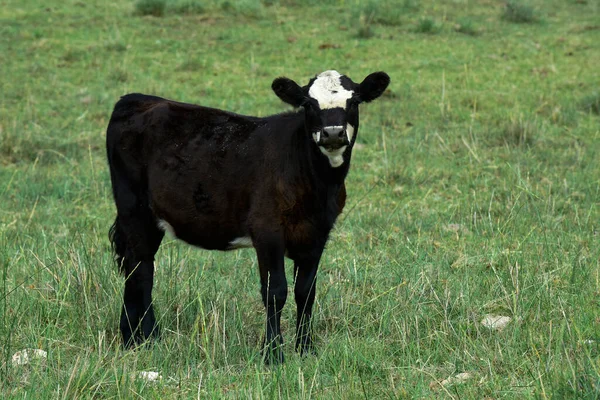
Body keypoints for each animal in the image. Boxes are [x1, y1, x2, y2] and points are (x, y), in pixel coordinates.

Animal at [107, 69, 390, 362]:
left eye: (354, 101)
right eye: (308, 104)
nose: (332, 133)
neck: (317, 185)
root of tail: (138, 99)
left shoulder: (317, 234)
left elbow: (305, 292)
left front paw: (305, 349)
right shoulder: (267, 230)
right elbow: (275, 292)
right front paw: (273, 353)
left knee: (140, 266)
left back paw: (145, 336)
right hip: (134, 210)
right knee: (139, 270)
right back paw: (137, 338)